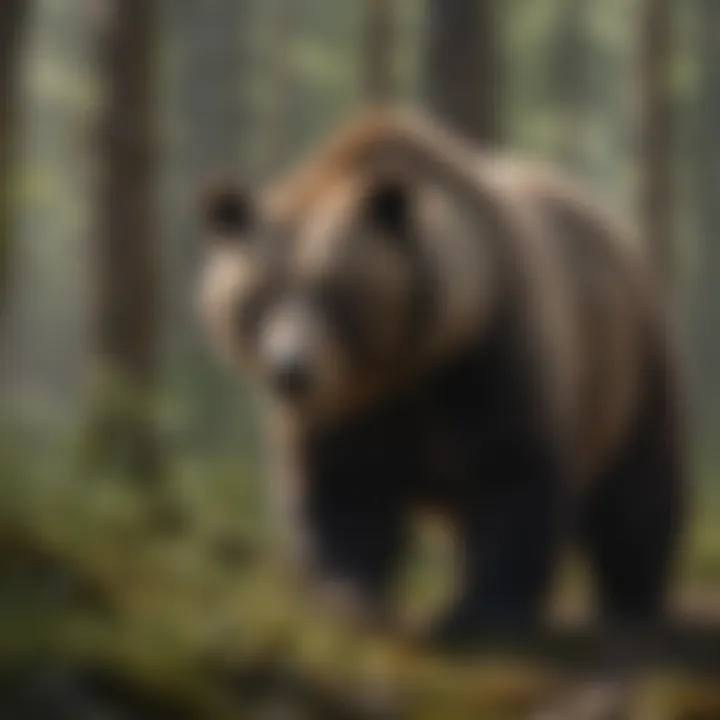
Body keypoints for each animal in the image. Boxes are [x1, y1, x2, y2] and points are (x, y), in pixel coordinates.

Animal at [197, 108, 685, 646]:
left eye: (336, 294)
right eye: (260, 298)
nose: (289, 371)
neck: (409, 360)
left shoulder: (489, 351)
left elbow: (510, 469)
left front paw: (485, 612)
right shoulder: (347, 408)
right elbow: (342, 488)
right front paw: (348, 598)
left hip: (628, 365)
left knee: (636, 493)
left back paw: (631, 598)